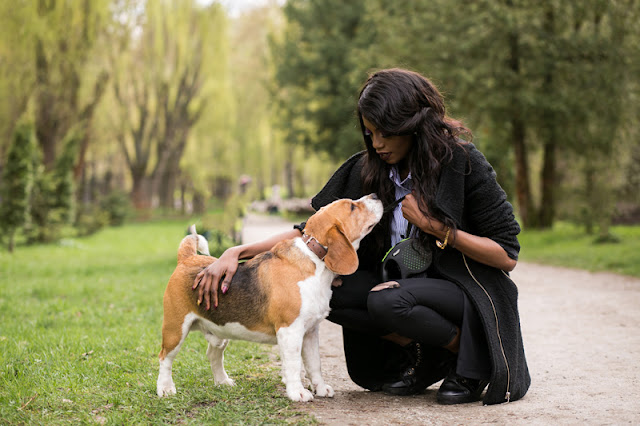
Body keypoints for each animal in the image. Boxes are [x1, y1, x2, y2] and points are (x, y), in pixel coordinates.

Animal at [157, 195, 382, 402]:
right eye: (352, 207)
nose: (375, 195)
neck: (314, 259)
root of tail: (188, 258)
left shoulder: (310, 331)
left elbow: (314, 364)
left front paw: (320, 388)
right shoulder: (290, 330)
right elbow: (294, 364)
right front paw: (298, 392)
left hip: (219, 330)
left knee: (213, 354)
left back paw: (222, 382)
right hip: (175, 329)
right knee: (165, 358)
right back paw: (165, 389)